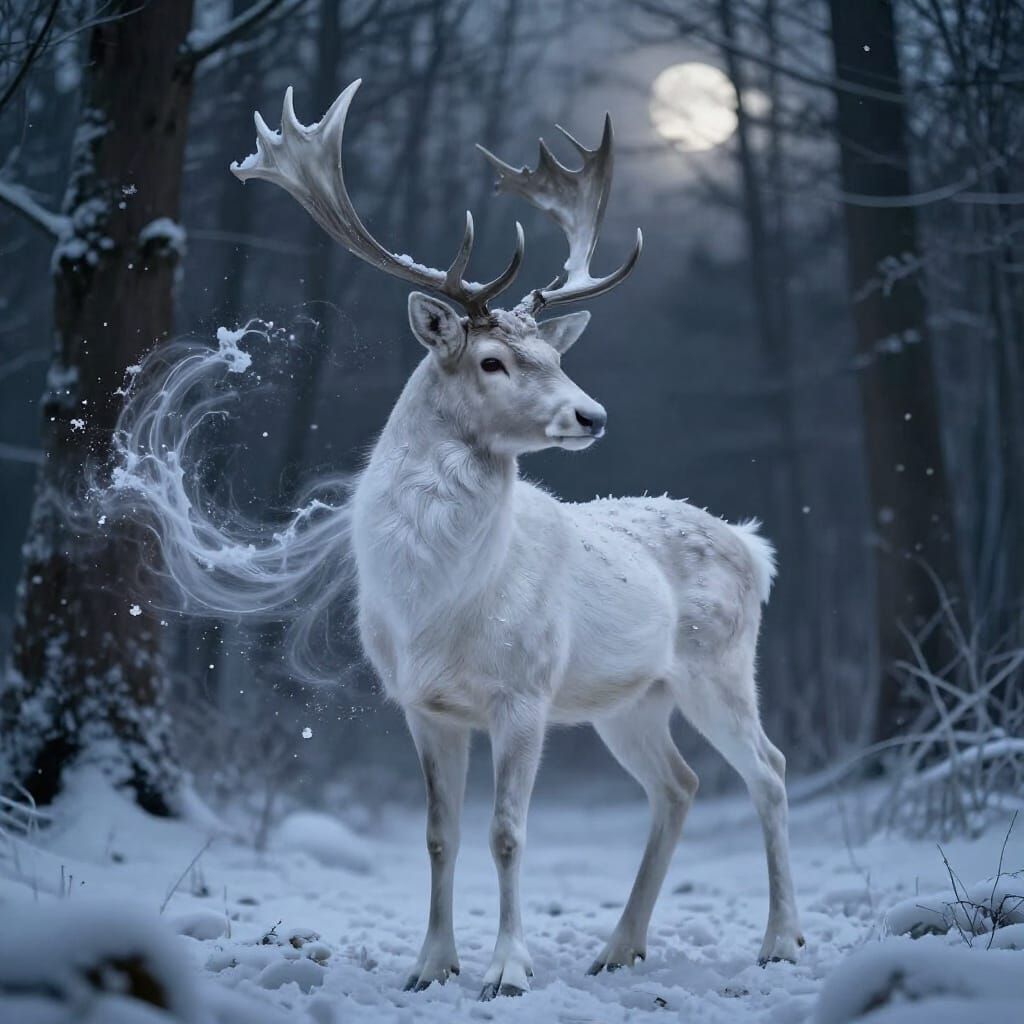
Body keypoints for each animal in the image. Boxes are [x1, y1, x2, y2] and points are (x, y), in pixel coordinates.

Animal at [231, 79, 804, 1000]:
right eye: (493, 361)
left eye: (554, 356)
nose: (592, 414)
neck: (435, 603)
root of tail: (753, 548)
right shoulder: (422, 703)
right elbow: (440, 835)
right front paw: (431, 965)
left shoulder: (525, 691)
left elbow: (507, 832)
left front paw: (507, 969)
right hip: (631, 698)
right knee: (679, 784)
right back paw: (619, 946)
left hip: (718, 664)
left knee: (770, 770)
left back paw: (781, 940)